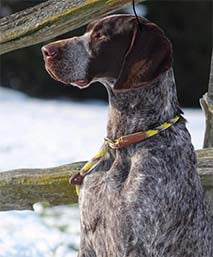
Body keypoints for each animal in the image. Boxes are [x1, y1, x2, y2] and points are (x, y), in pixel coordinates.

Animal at [41, 13, 211, 256]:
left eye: (101, 36)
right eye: (87, 30)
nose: (46, 50)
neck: (124, 142)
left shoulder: (133, 243)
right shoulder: (87, 240)